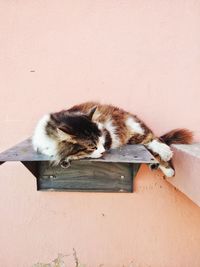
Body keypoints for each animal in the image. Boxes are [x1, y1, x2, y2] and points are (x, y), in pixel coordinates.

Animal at [32, 102, 193, 178]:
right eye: (91, 146)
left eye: (100, 140)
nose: (103, 151)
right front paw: (66, 160)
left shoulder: (106, 133)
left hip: (135, 131)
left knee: (152, 140)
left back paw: (167, 161)